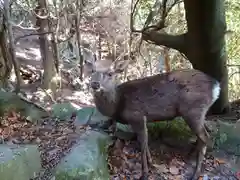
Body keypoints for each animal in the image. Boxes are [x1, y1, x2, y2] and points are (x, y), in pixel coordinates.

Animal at [85, 58, 221, 179]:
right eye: (92, 70)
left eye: (110, 73)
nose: (95, 84)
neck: (119, 104)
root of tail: (216, 86)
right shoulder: (143, 119)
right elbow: (146, 141)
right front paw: (151, 162)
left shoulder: (137, 116)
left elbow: (142, 143)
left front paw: (144, 173)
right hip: (199, 113)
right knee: (205, 135)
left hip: (193, 110)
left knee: (205, 137)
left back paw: (196, 174)